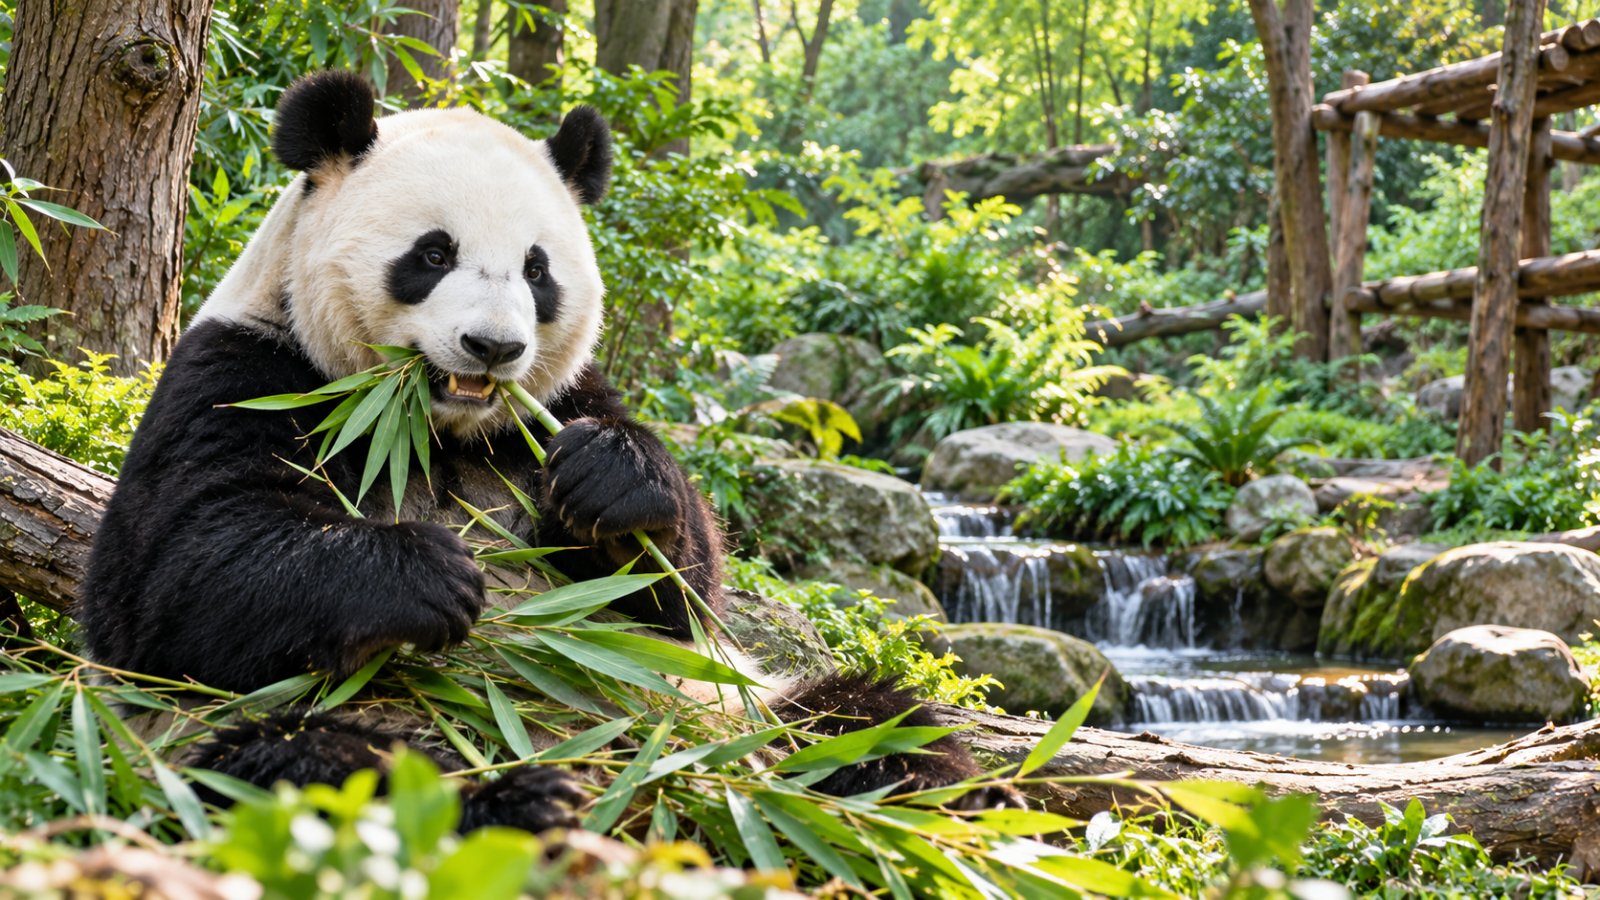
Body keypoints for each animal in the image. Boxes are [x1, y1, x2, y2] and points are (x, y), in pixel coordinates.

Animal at [79, 71, 1017, 833]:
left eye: (537, 270)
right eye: (433, 253)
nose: (492, 347)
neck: (435, 431)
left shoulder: (561, 401)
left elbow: (682, 596)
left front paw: (612, 484)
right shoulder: (251, 371)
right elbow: (179, 580)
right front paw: (429, 577)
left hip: (743, 712)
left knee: (873, 724)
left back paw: (946, 808)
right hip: (292, 734)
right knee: (311, 765)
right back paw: (522, 801)